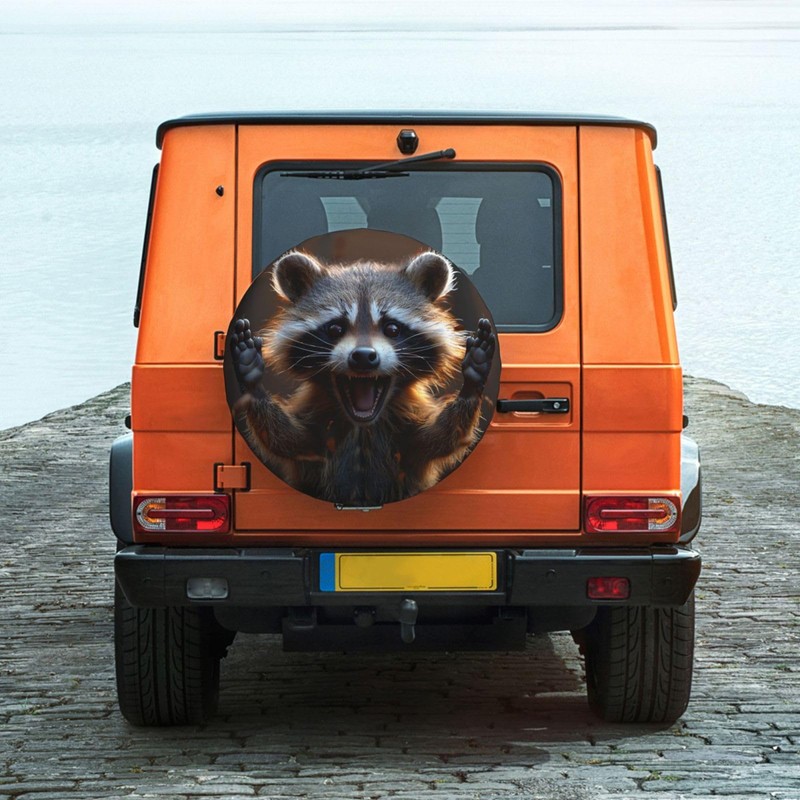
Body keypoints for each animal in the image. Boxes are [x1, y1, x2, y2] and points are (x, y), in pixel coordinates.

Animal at [230, 250, 496, 506]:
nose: (364, 357)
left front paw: (472, 384)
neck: (363, 426)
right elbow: (290, 441)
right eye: (335, 328)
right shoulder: (316, 419)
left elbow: (435, 439)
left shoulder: (408, 423)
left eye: (392, 328)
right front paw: (252, 382)